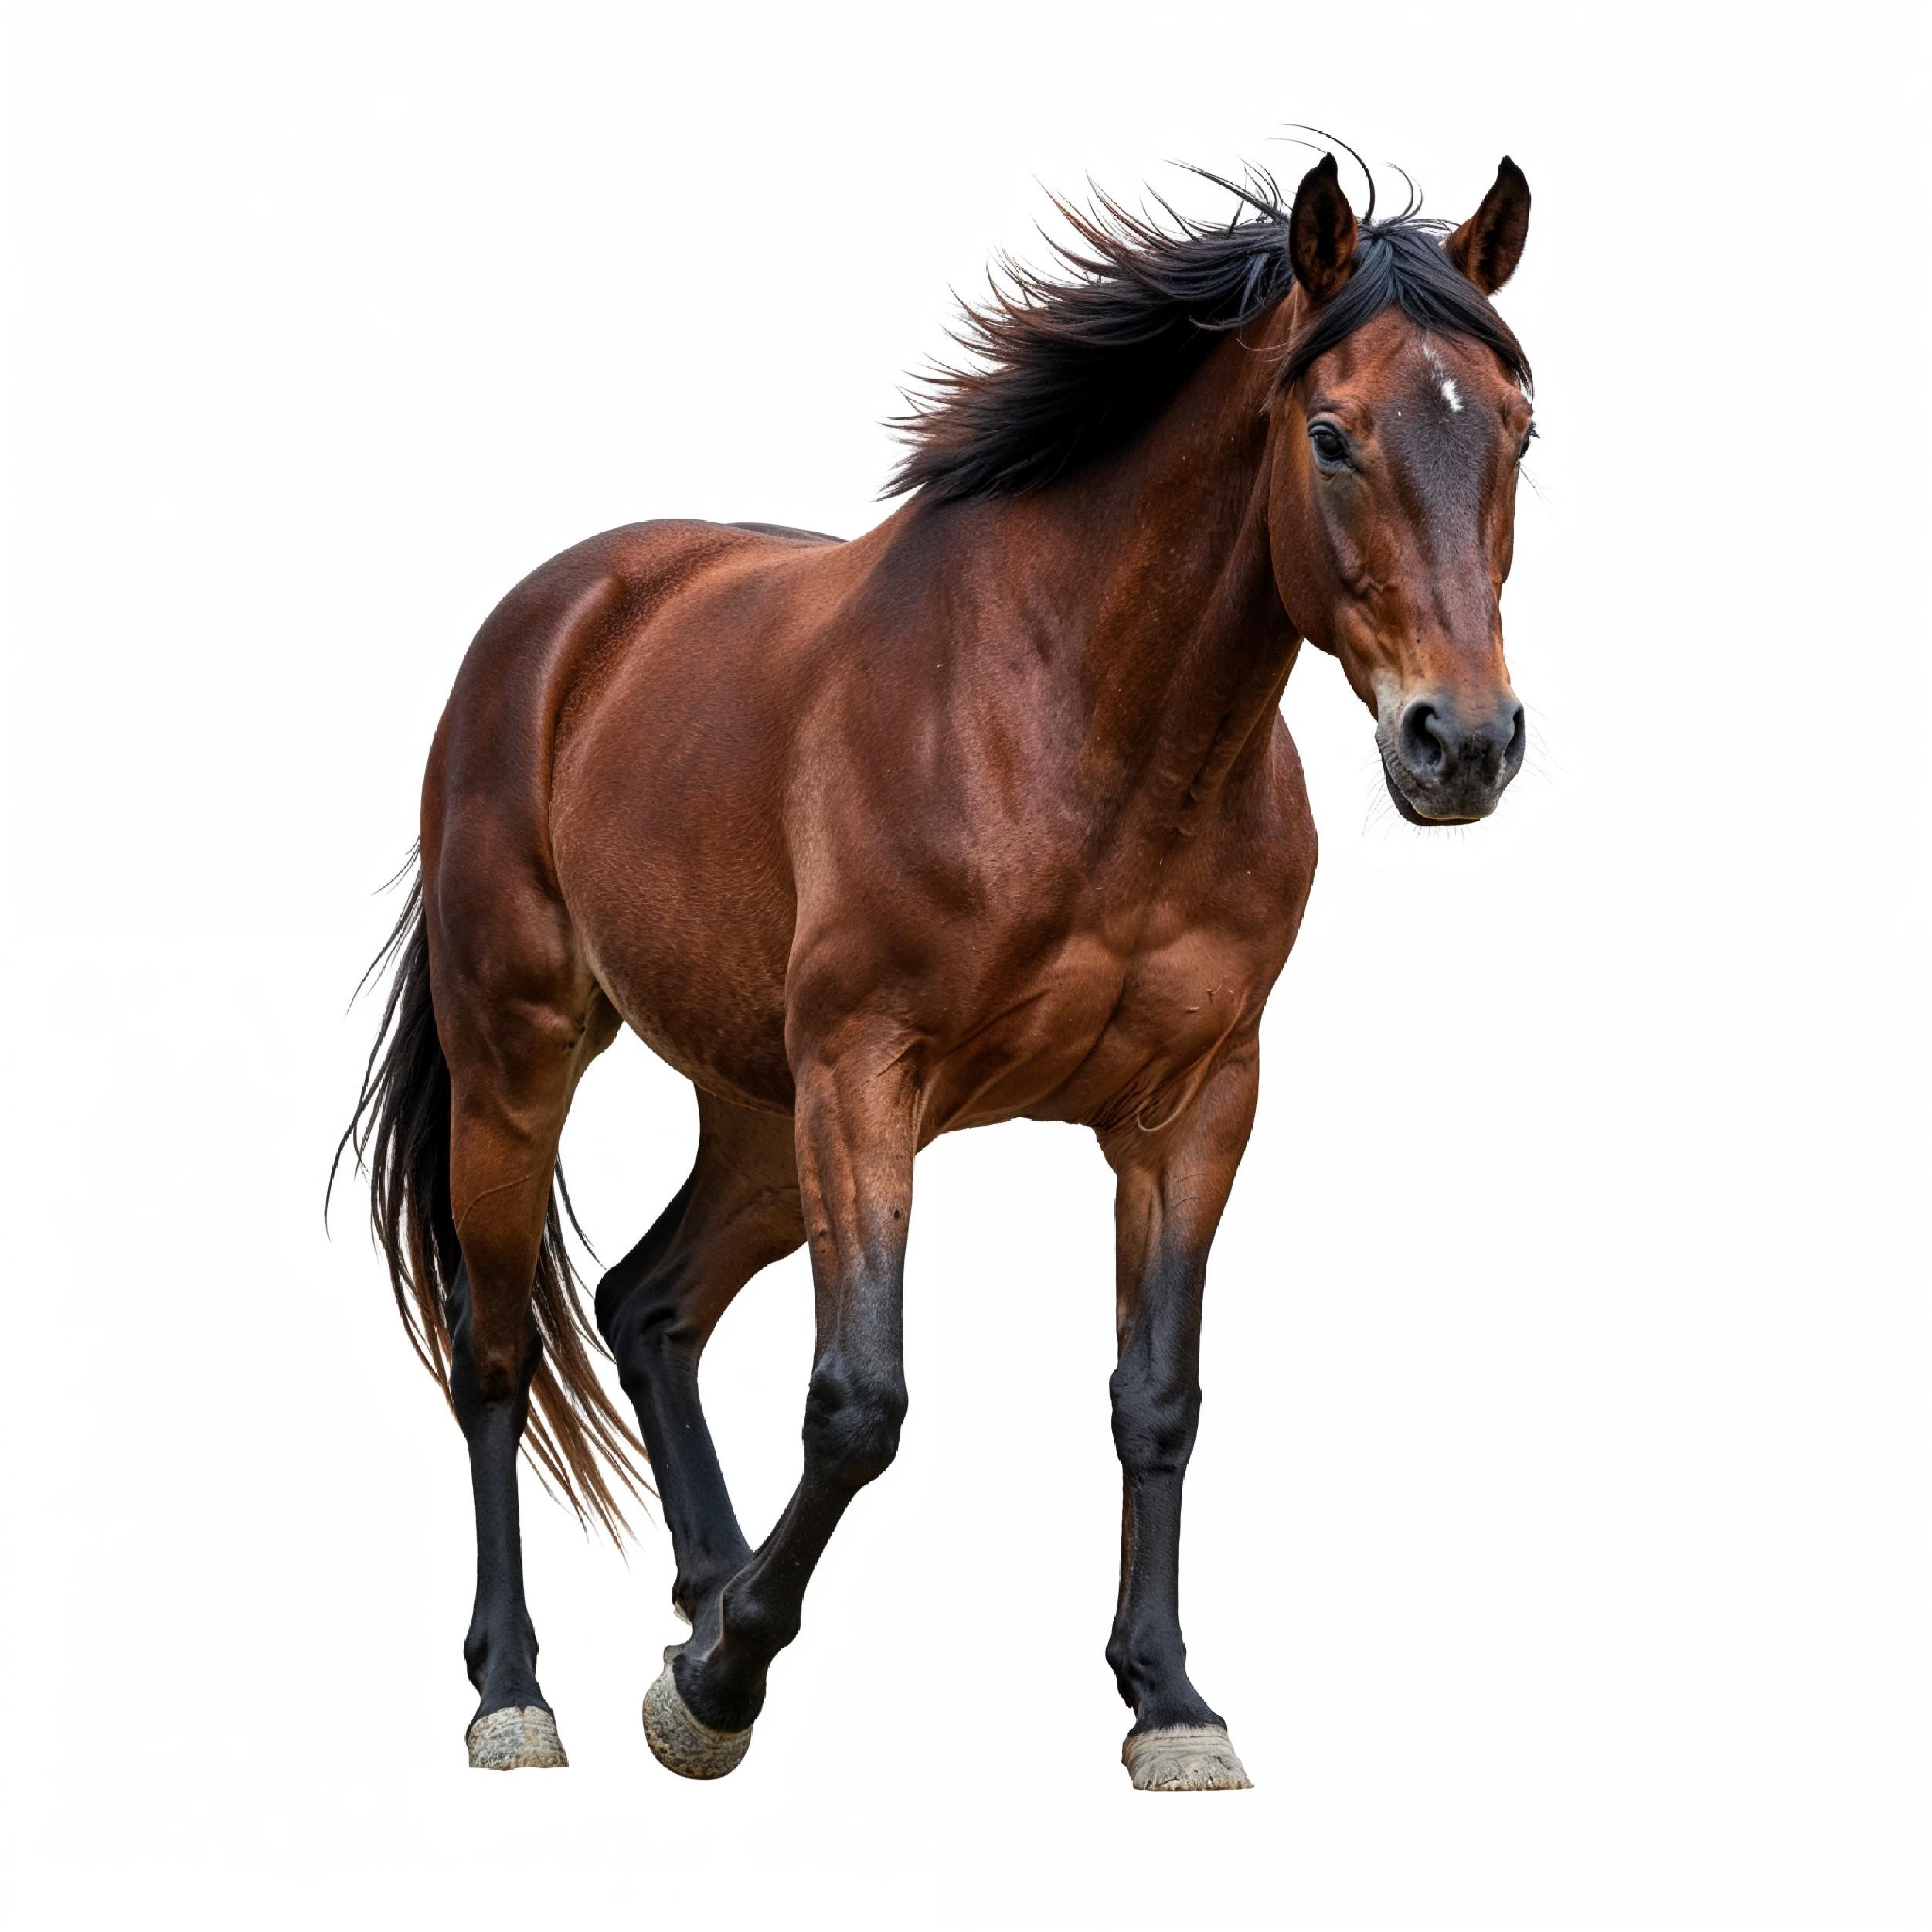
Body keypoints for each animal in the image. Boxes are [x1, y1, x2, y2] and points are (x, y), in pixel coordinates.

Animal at [337, 148, 1537, 1789]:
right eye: (1334, 433)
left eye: (1521, 432)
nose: (1461, 744)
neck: (1077, 725)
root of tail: (561, 619)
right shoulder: (869, 1073)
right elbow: (860, 1406)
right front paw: (714, 1692)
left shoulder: (1195, 1108)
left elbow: (1158, 1401)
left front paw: (1170, 1701)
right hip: (524, 1062)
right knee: (500, 1352)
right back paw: (520, 1689)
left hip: (758, 1115)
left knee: (648, 1304)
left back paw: (707, 1589)